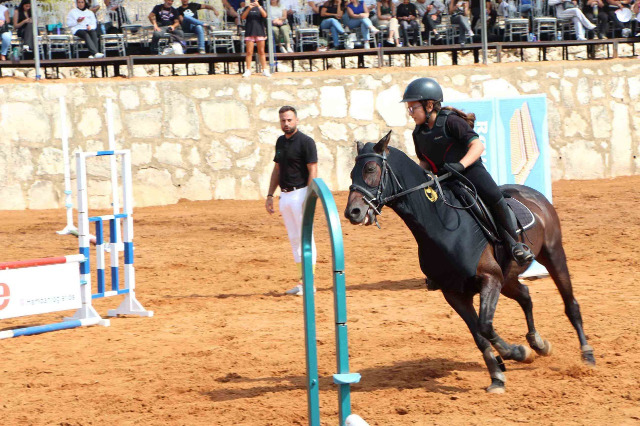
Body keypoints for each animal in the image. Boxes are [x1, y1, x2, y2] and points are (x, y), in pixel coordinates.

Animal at [344, 132, 596, 392]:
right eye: (352, 173)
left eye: (371, 168)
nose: (352, 212)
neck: (442, 224)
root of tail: (534, 194)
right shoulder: (454, 292)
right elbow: (479, 335)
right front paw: (498, 374)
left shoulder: (489, 279)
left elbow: (485, 325)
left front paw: (516, 353)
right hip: (508, 278)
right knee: (526, 296)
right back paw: (538, 343)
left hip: (553, 255)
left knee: (570, 304)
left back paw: (586, 354)